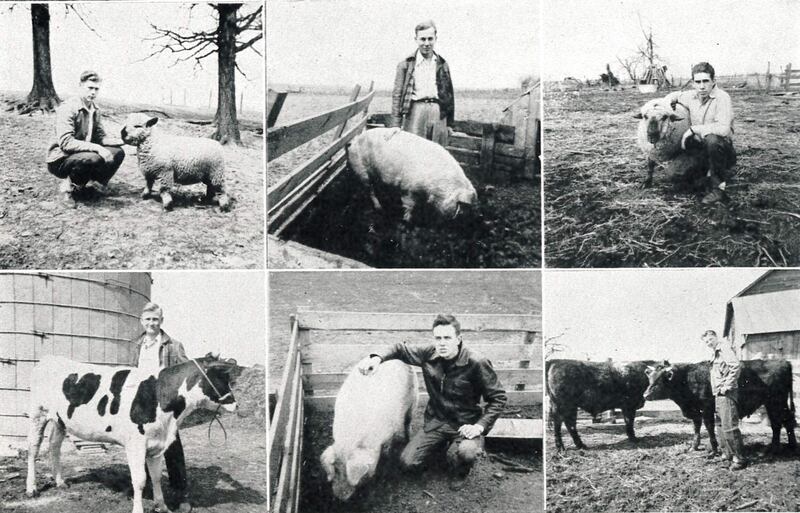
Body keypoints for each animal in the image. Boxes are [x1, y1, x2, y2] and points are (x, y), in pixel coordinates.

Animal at [25, 354, 238, 512]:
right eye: (221, 378)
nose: (236, 405)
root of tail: (49, 359)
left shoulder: (156, 445)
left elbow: (156, 477)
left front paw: (162, 507)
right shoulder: (136, 444)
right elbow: (140, 480)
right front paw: (139, 509)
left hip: (60, 420)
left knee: (54, 445)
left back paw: (60, 482)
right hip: (37, 413)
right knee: (33, 449)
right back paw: (31, 488)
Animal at [318, 358, 418, 498]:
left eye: (347, 473)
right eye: (335, 469)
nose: (340, 497)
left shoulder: (386, 432)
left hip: (414, 398)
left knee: (408, 421)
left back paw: (408, 439)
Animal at [346, 126, 478, 222]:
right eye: (461, 205)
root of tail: (354, 140)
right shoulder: (408, 188)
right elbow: (410, 205)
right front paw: (407, 220)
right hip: (361, 170)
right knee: (370, 190)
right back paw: (379, 208)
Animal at [648, 358, 796, 454]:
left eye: (660, 380)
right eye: (650, 378)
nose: (645, 394)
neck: (688, 378)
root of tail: (784, 362)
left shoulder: (706, 408)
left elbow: (709, 427)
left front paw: (713, 450)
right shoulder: (695, 411)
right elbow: (696, 427)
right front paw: (694, 447)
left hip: (777, 402)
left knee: (782, 421)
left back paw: (781, 448)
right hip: (772, 403)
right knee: (781, 422)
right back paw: (783, 446)